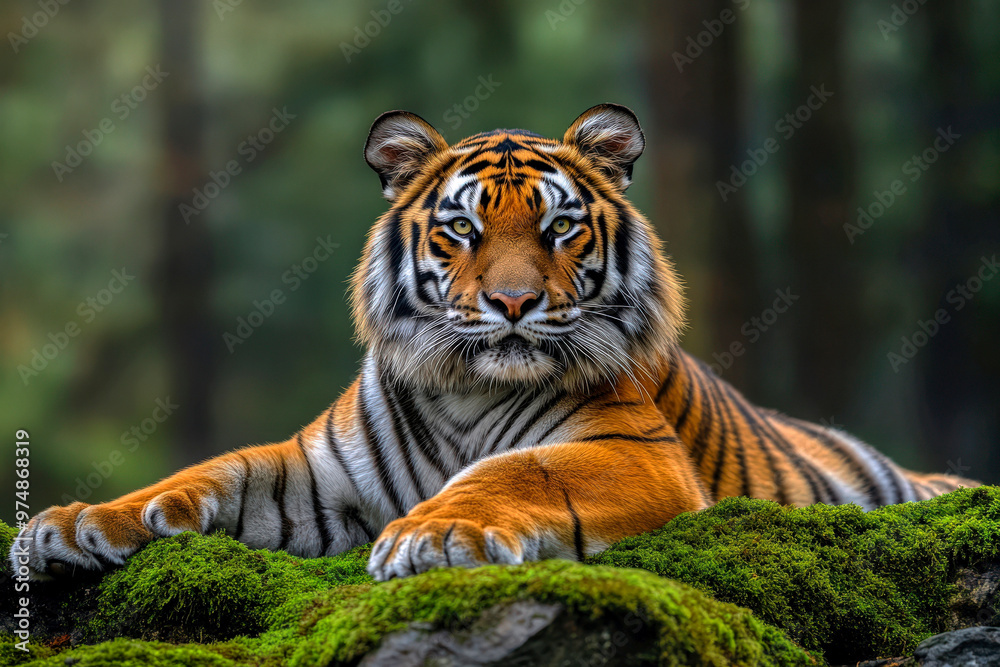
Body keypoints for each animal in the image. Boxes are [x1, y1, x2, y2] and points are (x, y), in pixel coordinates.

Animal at [11, 104, 977, 583]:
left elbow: (517, 470)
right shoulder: (317, 473)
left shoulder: (631, 450)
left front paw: (434, 533)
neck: (464, 388)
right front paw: (73, 524)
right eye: (462, 229)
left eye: (558, 227)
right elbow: (210, 470)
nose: (513, 301)